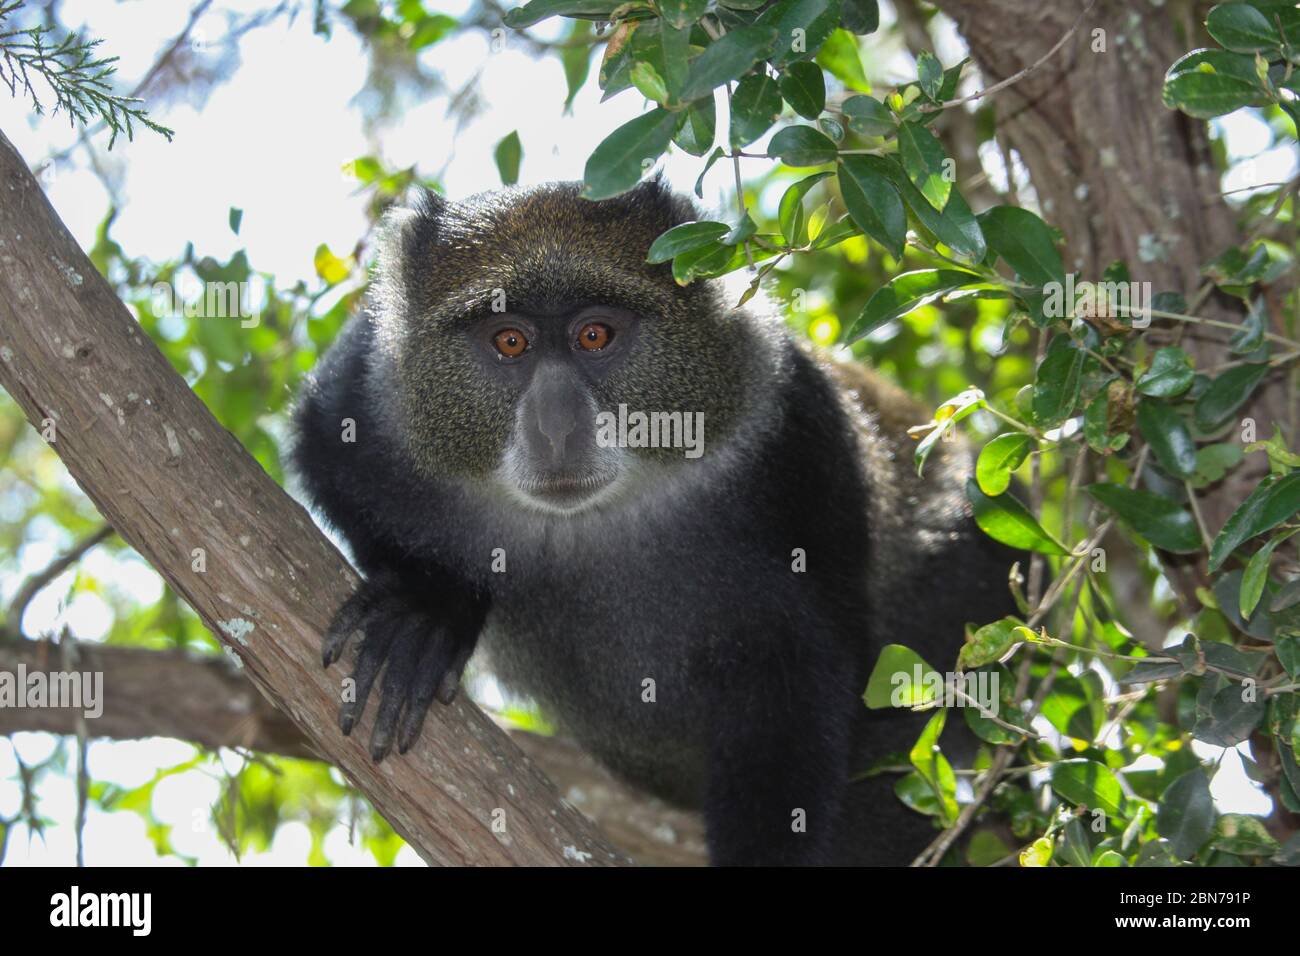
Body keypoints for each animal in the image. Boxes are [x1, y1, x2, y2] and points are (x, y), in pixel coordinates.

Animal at [290, 177, 1021, 866]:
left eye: (595, 335)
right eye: (509, 340)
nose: (557, 425)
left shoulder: (797, 436)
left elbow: (806, 683)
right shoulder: (367, 390)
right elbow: (323, 446)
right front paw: (430, 605)